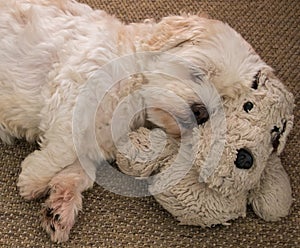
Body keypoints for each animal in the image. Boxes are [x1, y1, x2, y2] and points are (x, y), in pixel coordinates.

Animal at [0, 0, 294, 242]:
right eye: (198, 73)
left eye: (222, 103)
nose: (201, 111)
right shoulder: (77, 92)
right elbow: (64, 148)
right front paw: (34, 178)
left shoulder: (101, 140)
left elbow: (82, 171)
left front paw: (61, 205)